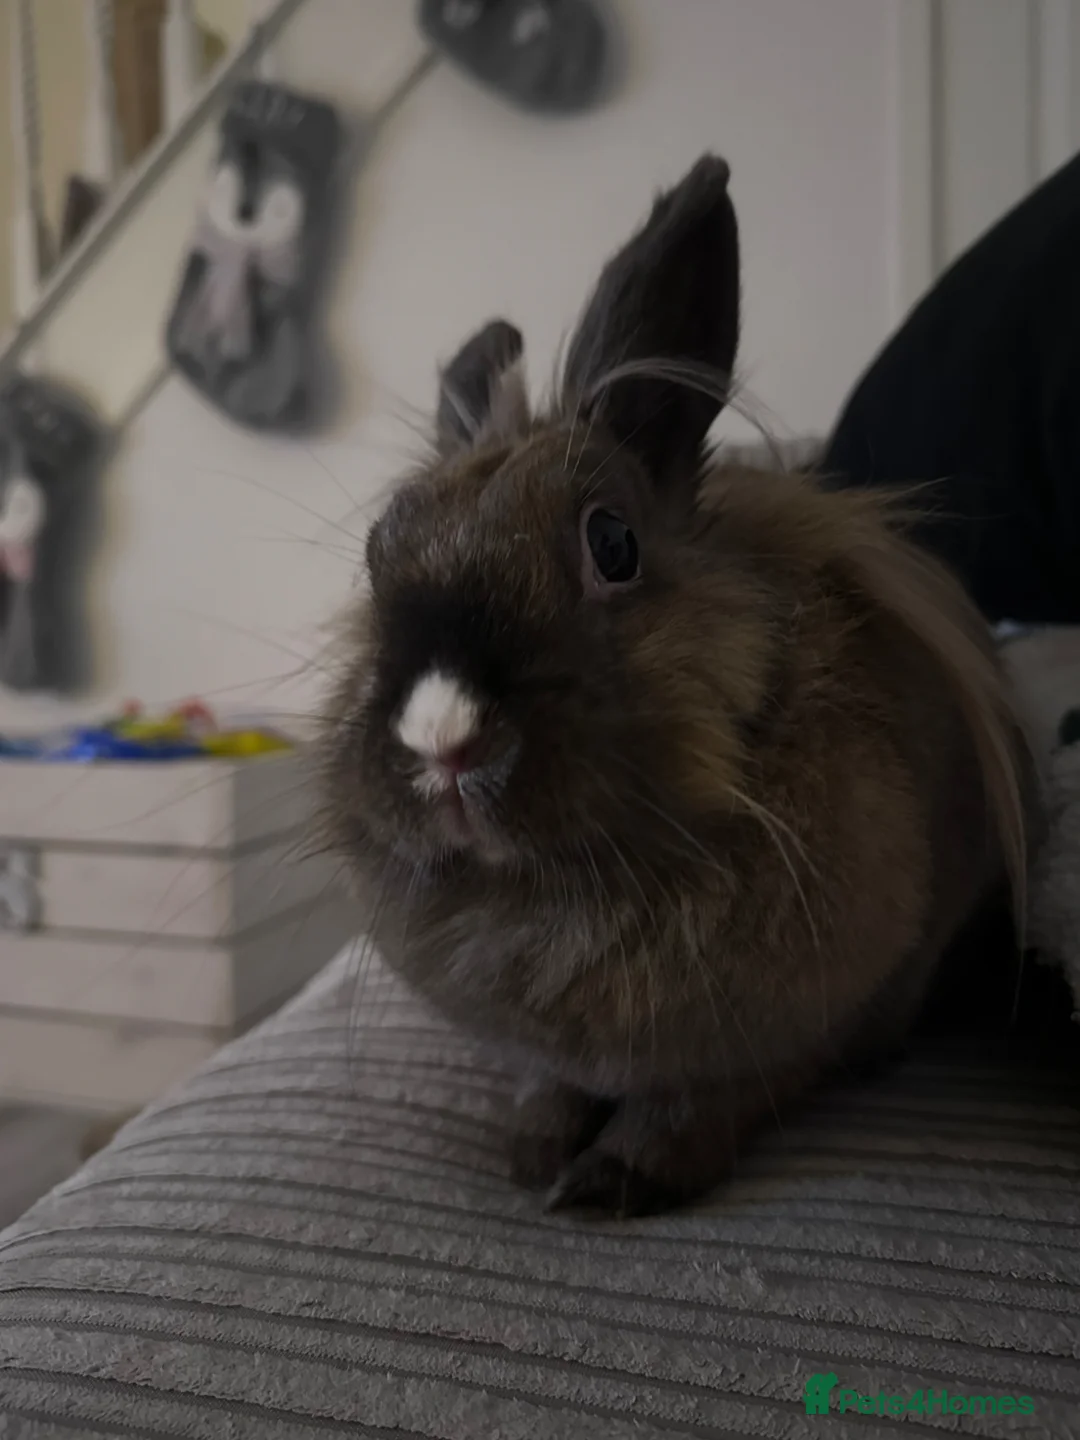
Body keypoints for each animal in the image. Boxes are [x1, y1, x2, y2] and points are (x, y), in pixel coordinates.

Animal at [319, 155, 1028, 1218]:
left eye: (613, 544)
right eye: (375, 560)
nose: (444, 736)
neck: (563, 893)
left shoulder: (777, 1037)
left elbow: (699, 1103)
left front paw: (610, 1184)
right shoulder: (548, 1050)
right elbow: (548, 1084)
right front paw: (532, 1154)